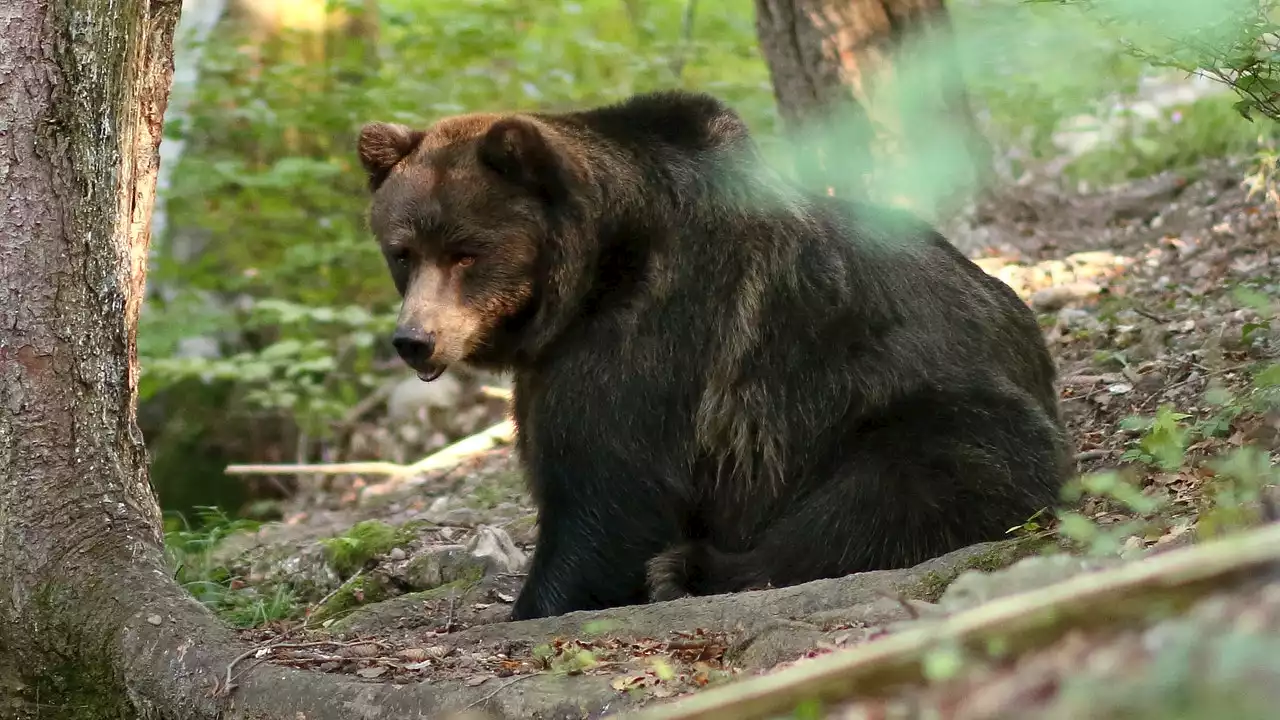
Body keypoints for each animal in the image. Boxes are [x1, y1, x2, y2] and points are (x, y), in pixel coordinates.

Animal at [355, 88, 1075, 617]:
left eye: (466, 252)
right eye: (402, 252)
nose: (414, 339)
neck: (591, 276)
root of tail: (1034, 348)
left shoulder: (649, 337)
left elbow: (607, 494)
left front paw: (541, 600)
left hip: (929, 409)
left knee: (894, 489)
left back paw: (690, 568)